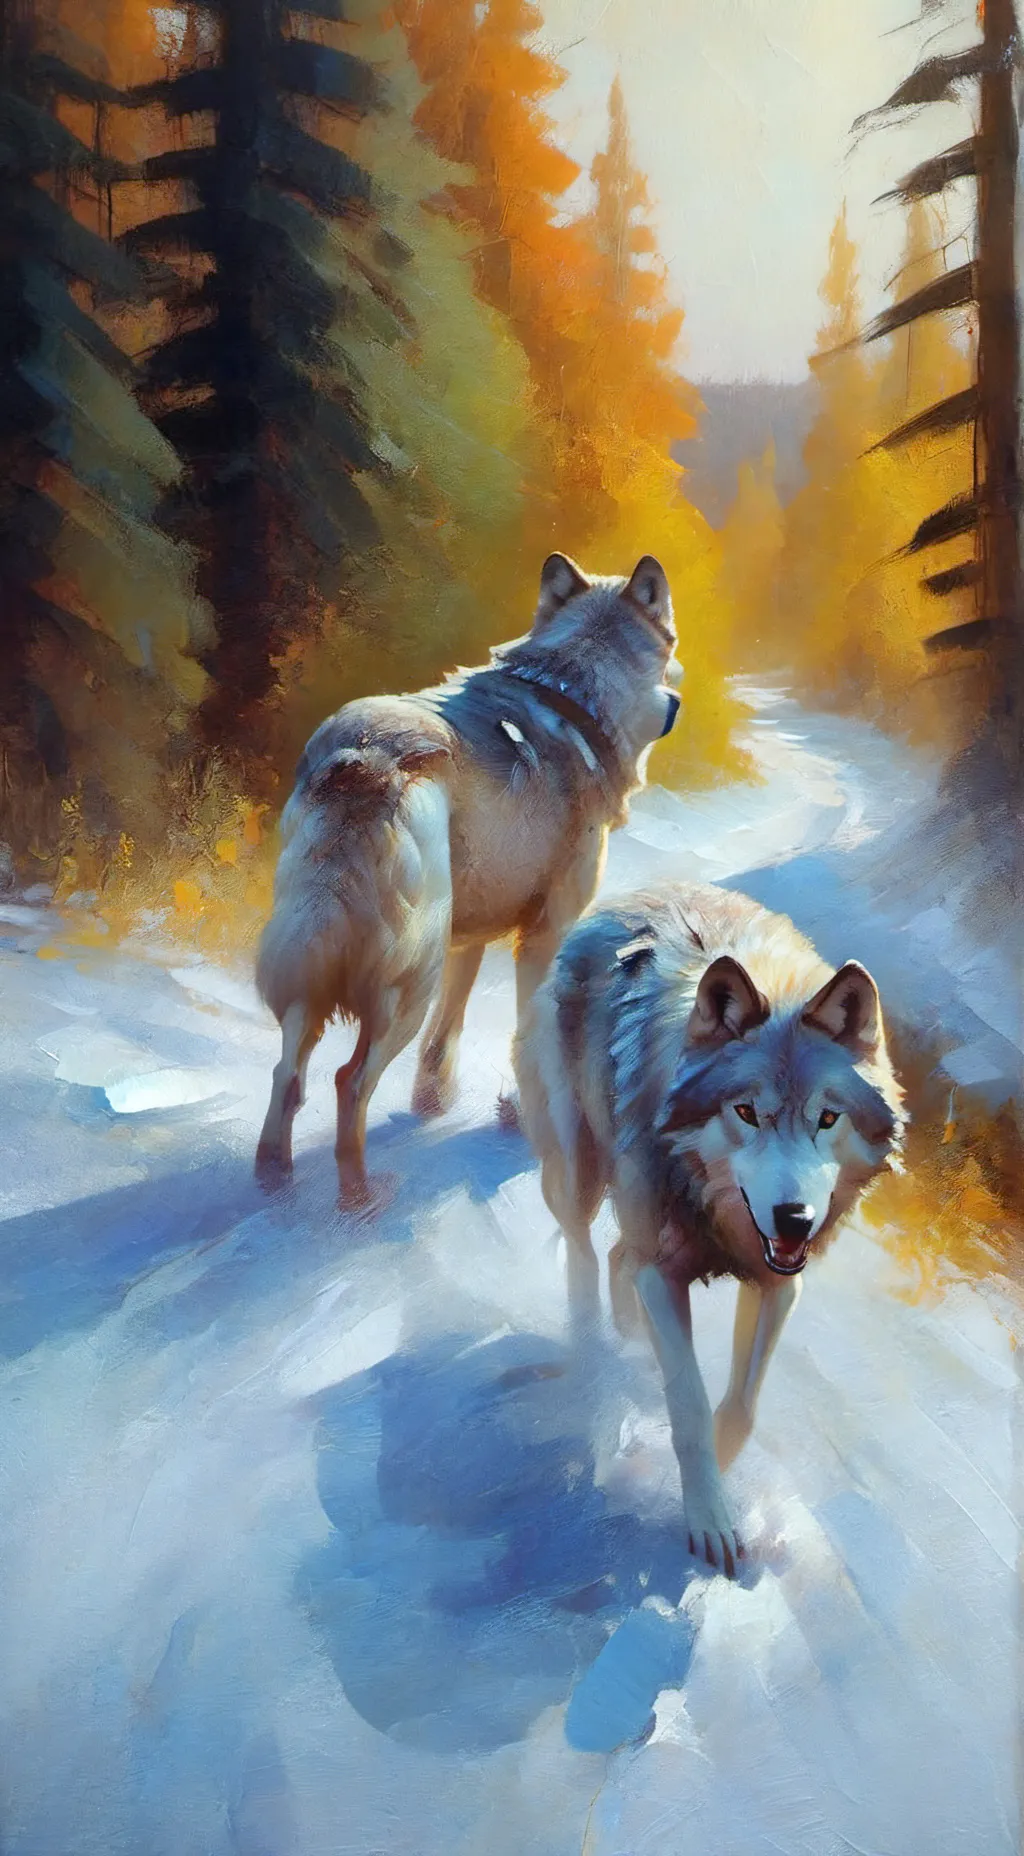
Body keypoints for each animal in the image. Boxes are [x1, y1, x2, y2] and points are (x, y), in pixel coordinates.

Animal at [255, 553, 682, 1209]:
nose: (679, 702)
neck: (574, 691)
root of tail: (367, 755)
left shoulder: (473, 938)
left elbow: (445, 1037)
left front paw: (433, 1103)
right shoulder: (545, 934)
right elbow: (530, 1035)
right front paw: (524, 1120)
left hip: (326, 965)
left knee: (289, 1073)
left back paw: (274, 1174)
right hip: (406, 981)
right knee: (348, 1080)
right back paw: (359, 1200)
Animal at [515, 881, 905, 1575]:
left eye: (827, 1118)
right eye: (746, 1112)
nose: (796, 1219)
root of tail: (622, 899)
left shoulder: (778, 1283)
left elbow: (742, 1408)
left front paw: (718, 1481)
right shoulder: (665, 1274)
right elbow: (690, 1403)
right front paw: (709, 1517)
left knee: (617, 1258)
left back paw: (627, 1335)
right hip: (579, 1173)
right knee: (584, 1257)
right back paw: (592, 1357)